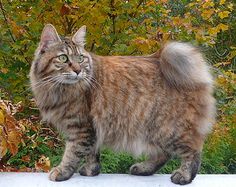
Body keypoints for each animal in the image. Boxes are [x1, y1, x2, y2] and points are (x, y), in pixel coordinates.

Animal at [30, 24, 216, 185]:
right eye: (63, 58)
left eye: (80, 58)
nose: (78, 70)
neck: (59, 88)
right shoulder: (92, 128)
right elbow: (92, 154)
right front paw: (91, 171)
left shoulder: (80, 127)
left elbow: (72, 153)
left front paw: (62, 171)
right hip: (155, 130)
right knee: (163, 154)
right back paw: (143, 168)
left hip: (170, 129)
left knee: (193, 151)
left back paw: (184, 176)